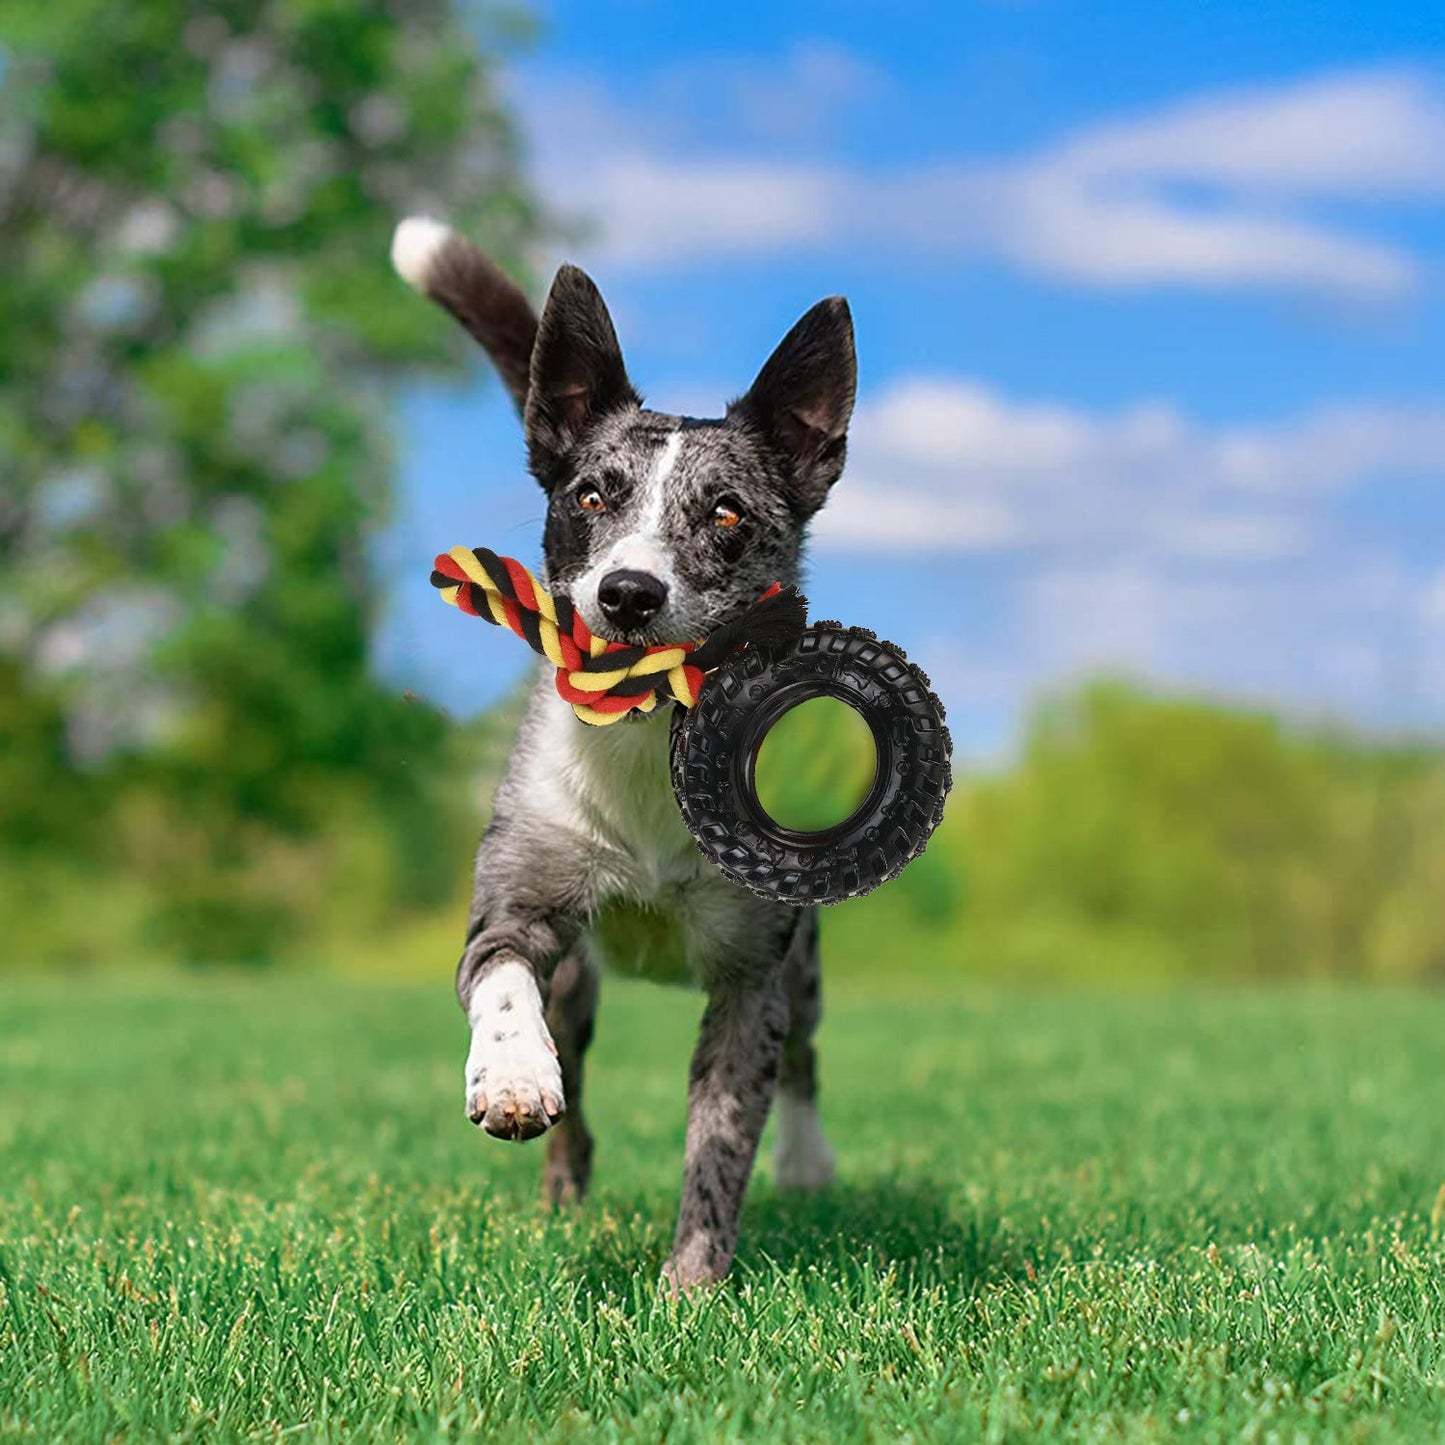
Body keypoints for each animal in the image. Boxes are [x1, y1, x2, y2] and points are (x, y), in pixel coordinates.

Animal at [390, 219, 849, 1294]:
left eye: (726, 512)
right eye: (592, 496)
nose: (629, 593)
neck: (645, 736)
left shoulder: (754, 977)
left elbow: (722, 1135)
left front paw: (692, 1284)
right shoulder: (517, 898)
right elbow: (502, 976)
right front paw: (513, 1079)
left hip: (807, 963)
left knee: (806, 1058)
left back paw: (808, 1162)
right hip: (583, 985)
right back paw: (560, 1179)